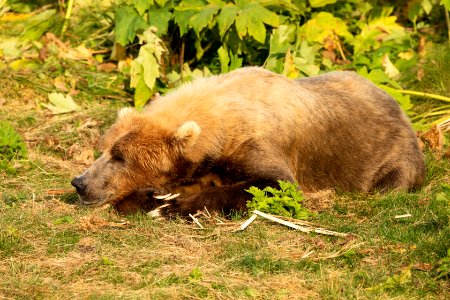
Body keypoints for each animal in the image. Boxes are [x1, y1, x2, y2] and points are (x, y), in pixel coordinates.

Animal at [70, 67, 426, 217]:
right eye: (105, 148)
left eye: (121, 157)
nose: (80, 182)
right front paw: (153, 197)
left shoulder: (256, 144)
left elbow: (271, 184)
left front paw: (171, 206)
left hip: (390, 154)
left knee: (393, 181)